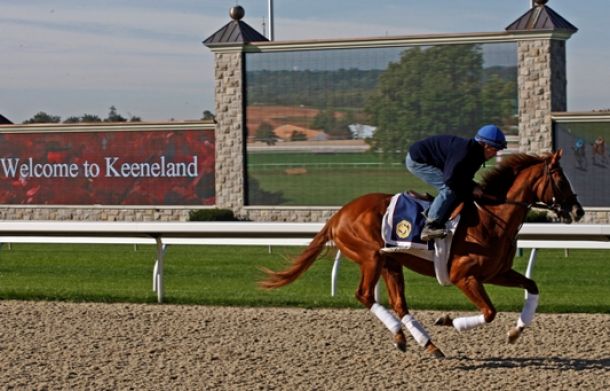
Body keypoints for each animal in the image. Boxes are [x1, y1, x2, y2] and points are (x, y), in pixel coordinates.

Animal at [258, 150, 580, 358]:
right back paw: (414, 337)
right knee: (365, 295)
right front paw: (450, 321)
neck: (491, 218)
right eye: (560, 178)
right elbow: (489, 312)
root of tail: (337, 216)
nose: (578, 210)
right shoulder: (463, 276)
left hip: (391, 261)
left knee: (399, 304)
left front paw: (516, 331)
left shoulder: (496, 272)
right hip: (371, 257)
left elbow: (532, 287)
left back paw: (422, 342)